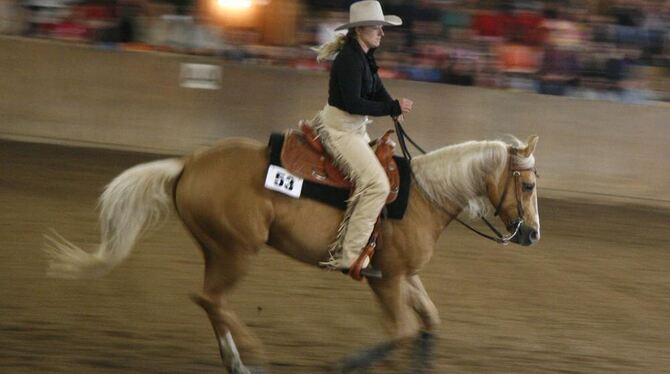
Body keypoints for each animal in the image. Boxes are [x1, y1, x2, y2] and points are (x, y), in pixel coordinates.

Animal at [46, 131, 540, 372]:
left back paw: (238, 362)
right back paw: (254, 355)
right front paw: (346, 364)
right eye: (529, 185)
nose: (532, 234)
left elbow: (430, 323)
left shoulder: (404, 276)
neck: (421, 198)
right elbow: (400, 333)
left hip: (218, 249)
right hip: (237, 250)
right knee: (210, 299)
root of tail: (189, 163)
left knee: (210, 301)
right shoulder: (387, 282)